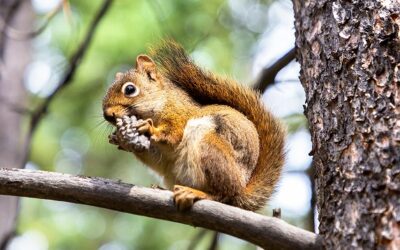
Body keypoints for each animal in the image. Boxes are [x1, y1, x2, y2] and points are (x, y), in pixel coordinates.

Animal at [102, 41, 284, 211]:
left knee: (224, 195)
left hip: (210, 147)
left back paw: (196, 193)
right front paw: (121, 139)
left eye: (130, 89)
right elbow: (155, 156)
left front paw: (148, 128)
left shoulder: (180, 115)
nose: (107, 114)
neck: (161, 102)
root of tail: (241, 190)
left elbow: (173, 134)